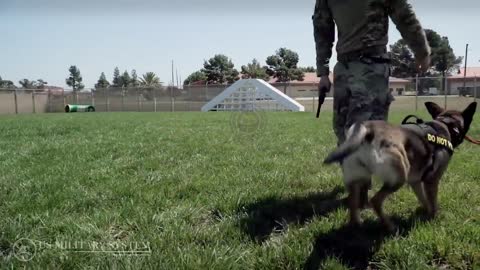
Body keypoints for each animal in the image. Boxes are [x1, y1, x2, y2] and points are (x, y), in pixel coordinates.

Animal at [322, 102, 476, 231]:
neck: (446, 123)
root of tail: (368, 130)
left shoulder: (415, 181)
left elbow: (423, 198)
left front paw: (425, 210)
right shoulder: (432, 180)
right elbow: (432, 201)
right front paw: (434, 217)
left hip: (357, 177)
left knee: (353, 200)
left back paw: (355, 224)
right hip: (399, 177)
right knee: (375, 201)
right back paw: (390, 226)